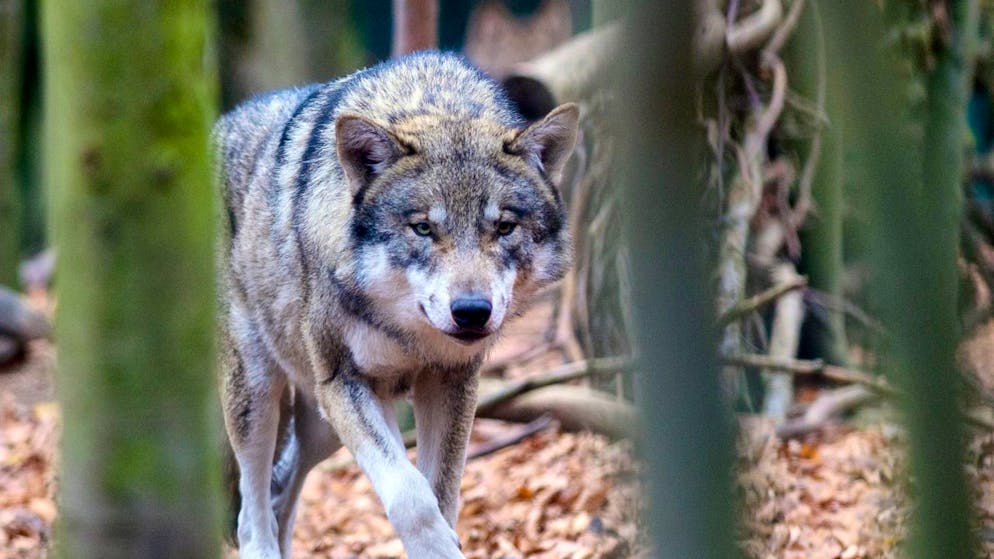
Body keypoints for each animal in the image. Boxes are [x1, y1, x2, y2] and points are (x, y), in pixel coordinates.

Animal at [214, 51, 578, 558]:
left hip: (321, 426)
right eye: (423, 228)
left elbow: (439, 493)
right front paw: (440, 547)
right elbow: (412, 497)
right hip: (261, 392)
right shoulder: (344, 382)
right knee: (252, 513)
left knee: (281, 492)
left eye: (503, 227)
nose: (472, 311)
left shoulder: (451, 381)